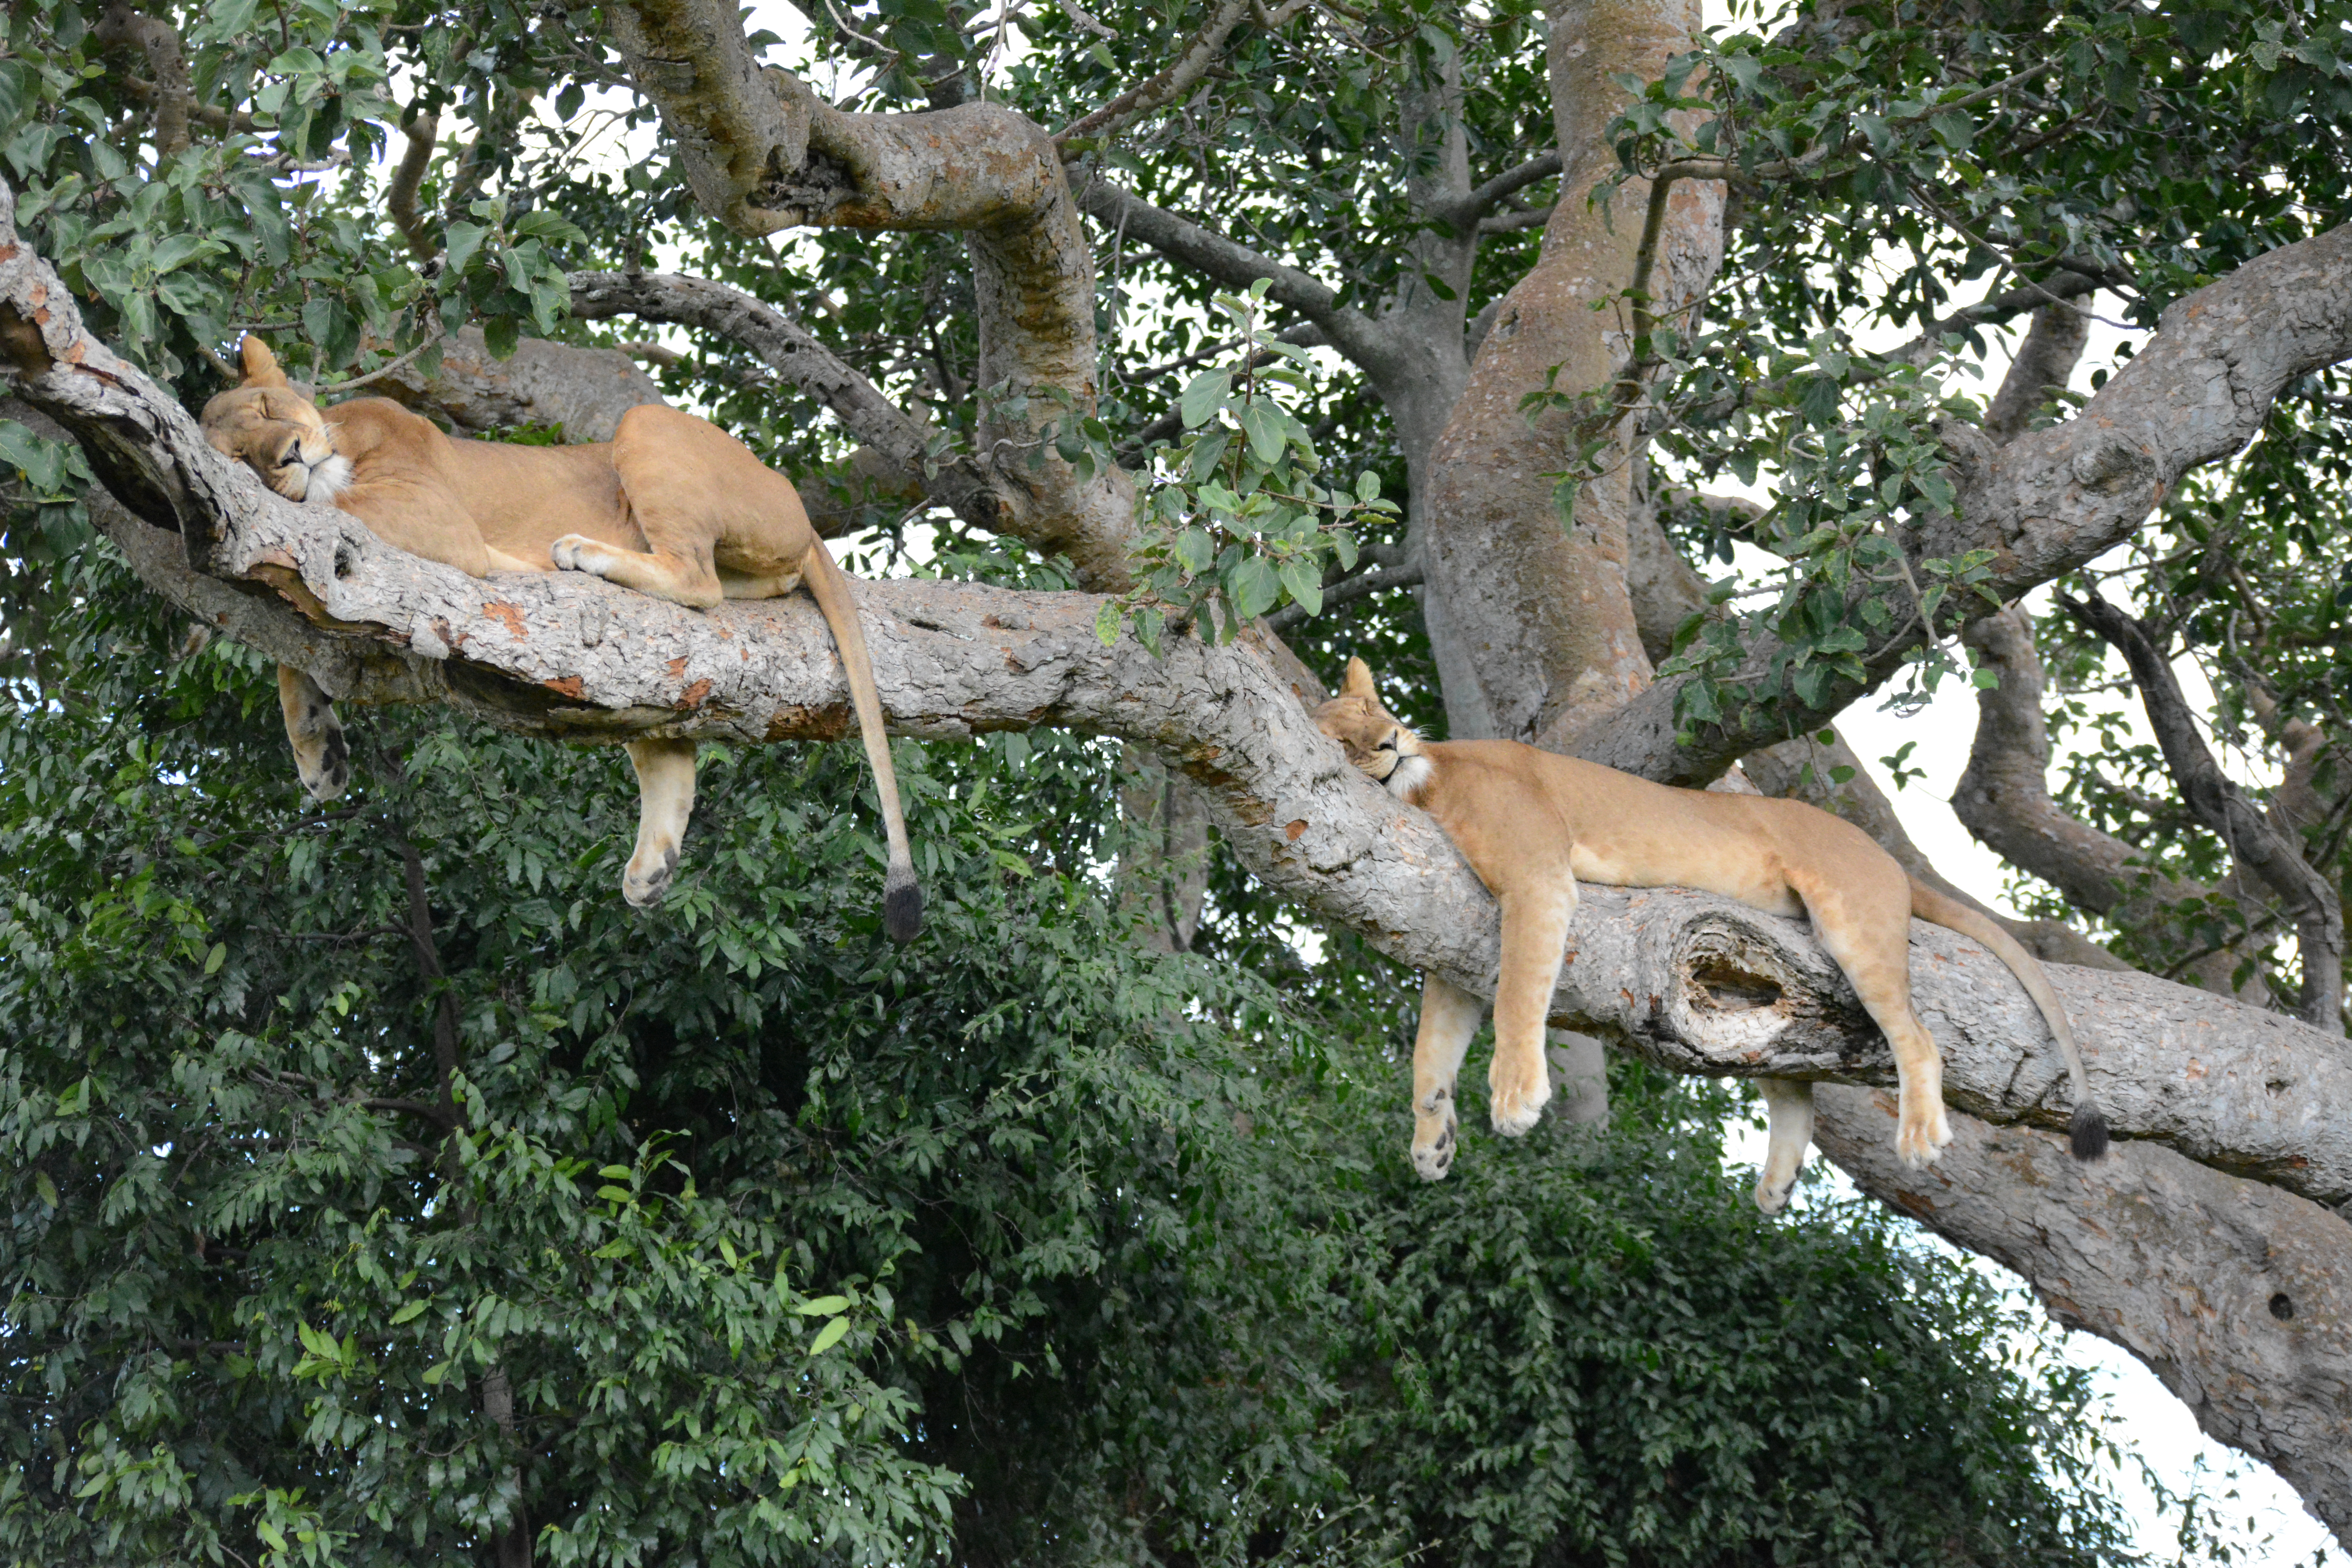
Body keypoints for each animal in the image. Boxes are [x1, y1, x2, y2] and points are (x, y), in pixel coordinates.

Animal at [200, 337, 920, 938]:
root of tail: (802, 514)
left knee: (696, 580)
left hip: (645, 426)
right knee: (671, 738)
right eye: (239, 458)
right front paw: (317, 752)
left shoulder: (435, 518)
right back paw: (652, 869)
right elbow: (296, 641)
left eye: (266, 406)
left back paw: (580, 553)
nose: (289, 456)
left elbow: (320, 522)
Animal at [1312, 657, 2104, 1212]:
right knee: (1795, 1078)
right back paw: (1778, 1184)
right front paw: (1431, 1145)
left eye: (1375, 711)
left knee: (1919, 1037)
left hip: (1853, 920)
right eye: (1343, 742)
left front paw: (1513, 1098)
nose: (1391, 740)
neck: (1431, 783)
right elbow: (1431, 1053)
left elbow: (1517, 1000)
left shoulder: (1539, 881)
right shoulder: (1452, 944)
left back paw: (1916, 1135)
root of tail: (1891, 862)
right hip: (1787, 970)